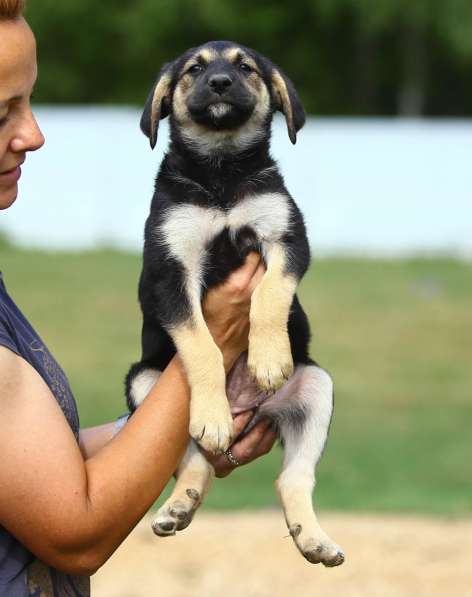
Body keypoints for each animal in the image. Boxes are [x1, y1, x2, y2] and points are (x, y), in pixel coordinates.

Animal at [127, 40, 344, 564]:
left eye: (245, 67)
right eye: (194, 69)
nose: (221, 83)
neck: (221, 171)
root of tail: (251, 411)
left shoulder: (286, 239)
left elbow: (269, 296)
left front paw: (267, 359)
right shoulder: (170, 271)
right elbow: (201, 344)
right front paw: (212, 411)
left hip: (316, 386)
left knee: (293, 478)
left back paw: (314, 539)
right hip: (145, 385)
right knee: (195, 463)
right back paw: (178, 504)